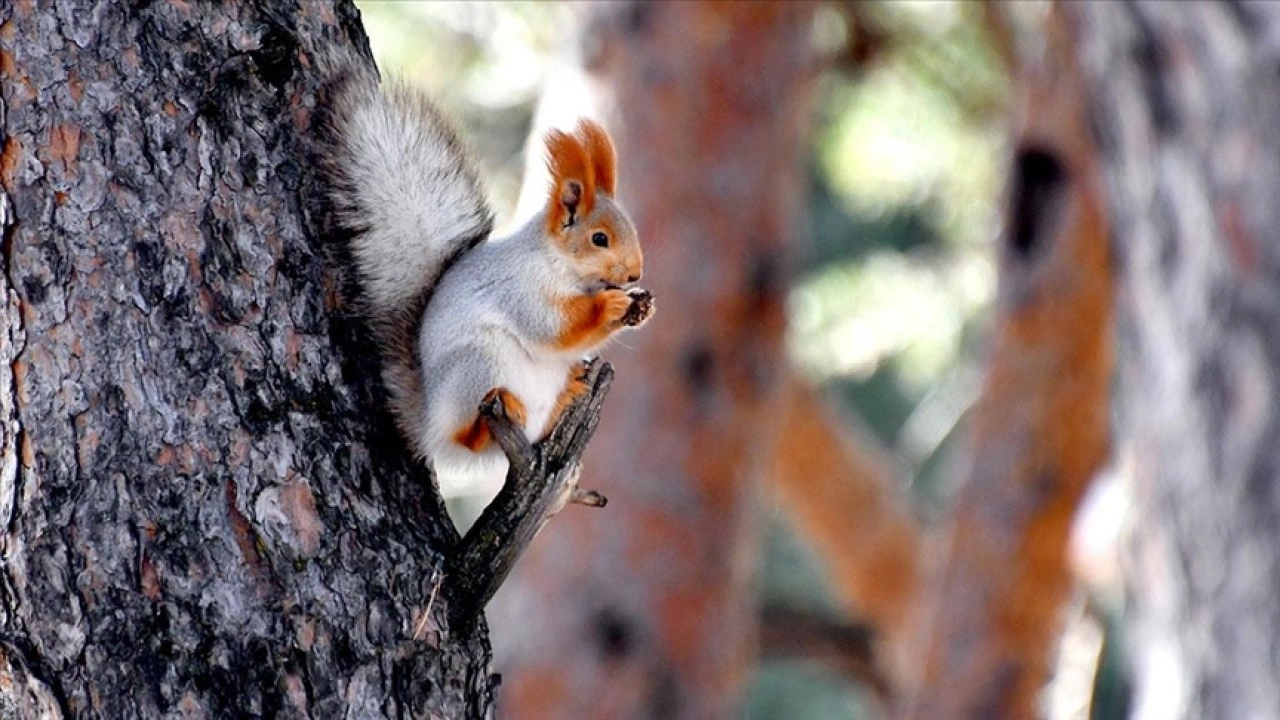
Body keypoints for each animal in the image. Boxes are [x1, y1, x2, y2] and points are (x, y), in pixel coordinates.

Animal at [309, 60, 650, 499]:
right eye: (600, 239)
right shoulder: (520, 288)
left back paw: (566, 394)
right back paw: (484, 424)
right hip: (479, 366)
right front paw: (610, 306)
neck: (560, 264)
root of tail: (429, 427)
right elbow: (551, 328)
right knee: (467, 438)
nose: (635, 273)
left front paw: (640, 306)